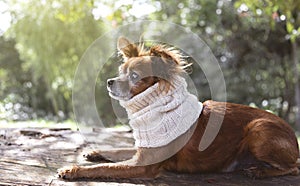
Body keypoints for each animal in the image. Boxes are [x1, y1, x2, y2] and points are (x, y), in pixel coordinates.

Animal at [57, 36, 298, 180]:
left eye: (134, 76)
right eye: (121, 72)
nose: (109, 81)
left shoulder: (144, 164)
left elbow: (104, 168)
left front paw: (72, 169)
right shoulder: (142, 150)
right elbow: (116, 151)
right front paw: (95, 152)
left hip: (258, 129)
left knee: (294, 167)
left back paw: (260, 171)